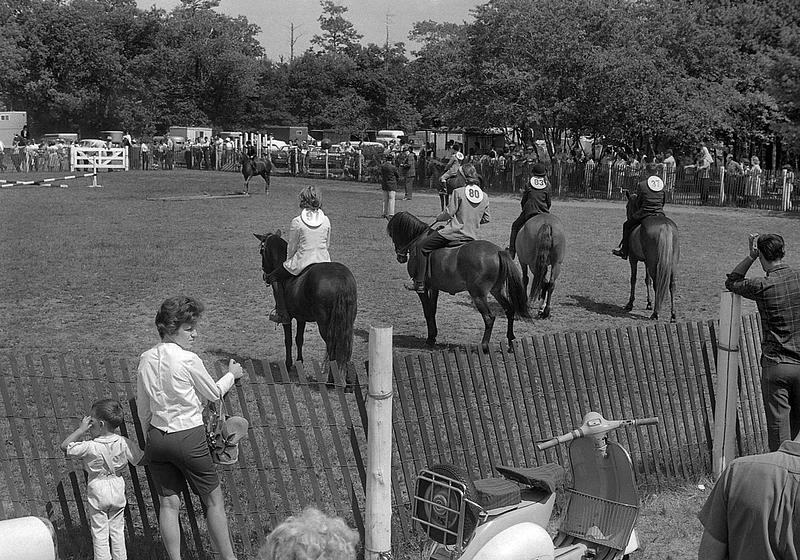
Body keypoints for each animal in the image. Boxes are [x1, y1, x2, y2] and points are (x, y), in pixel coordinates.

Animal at [255, 230, 358, 378]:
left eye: (261, 251)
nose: (265, 275)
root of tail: (341, 279)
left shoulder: (288, 318)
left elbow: (288, 340)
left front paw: (288, 364)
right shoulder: (301, 317)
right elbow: (299, 339)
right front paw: (300, 363)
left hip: (325, 324)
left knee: (333, 347)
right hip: (347, 321)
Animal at [384, 212, 528, 352]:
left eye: (392, 234)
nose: (400, 257)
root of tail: (498, 251)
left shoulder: (423, 289)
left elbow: (427, 311)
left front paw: (430, 339)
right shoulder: (434, 287)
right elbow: (432, 310)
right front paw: (433, 337)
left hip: (478, 294)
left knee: (489, 318)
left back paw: (484, 346)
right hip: (497, 291)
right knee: (509, 310)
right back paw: (511, 342)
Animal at [620, 194, 680, 322]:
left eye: (627, 206)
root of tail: (665, 227)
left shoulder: (633, 259)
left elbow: (633, 279)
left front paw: (630, 303)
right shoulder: (646, 262)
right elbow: (647, 280)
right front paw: (649, 303)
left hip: (653, 264)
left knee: (657, 284)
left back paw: (656, 313)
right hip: (671, 264)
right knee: (672, 285)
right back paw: (673, 315)